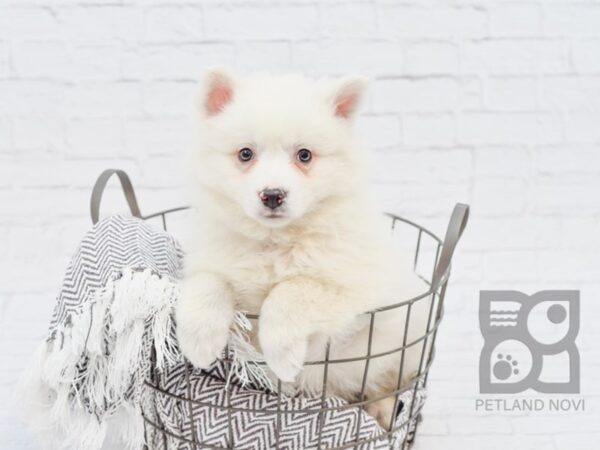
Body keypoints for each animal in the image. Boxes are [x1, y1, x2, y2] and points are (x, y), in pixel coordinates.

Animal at [176, 68, 434, 428]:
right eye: (245, 154)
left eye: (304, 155)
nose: (272, 195)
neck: (275, 242)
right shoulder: (215, 260)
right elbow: (207, 283)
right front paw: (199, 342)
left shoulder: (355, 288)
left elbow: (292, 291)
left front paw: (282, 356)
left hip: (396, 341)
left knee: (388, 379)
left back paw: (383, 411)